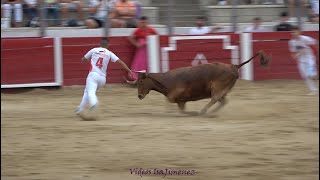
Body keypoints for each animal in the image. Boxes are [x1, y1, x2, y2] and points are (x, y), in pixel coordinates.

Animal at [125, 51, 270, 114]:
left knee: (215, 98)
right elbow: (177, 107)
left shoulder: (178, 98)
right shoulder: (180, 101)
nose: (139, 96)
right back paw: (209, 112)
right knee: (222, 101)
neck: (167, 80)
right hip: (222, 89)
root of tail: (234, 66)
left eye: (141, 81)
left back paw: (202, 111)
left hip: (217, 87)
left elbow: (172, 104)